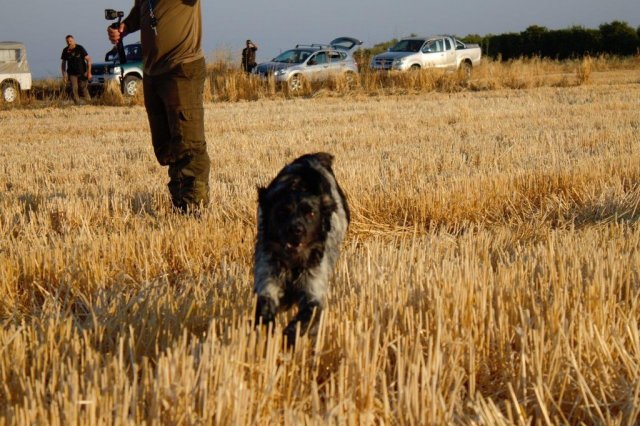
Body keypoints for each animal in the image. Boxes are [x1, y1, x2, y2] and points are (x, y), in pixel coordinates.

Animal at [252, 152, 350, 346]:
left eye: (311, 213)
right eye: (283, 212)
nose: (296, 230)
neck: (293, 264)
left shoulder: (314, 290)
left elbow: (303, 320)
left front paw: (289, 337)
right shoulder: (267, 281)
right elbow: (265, 314)